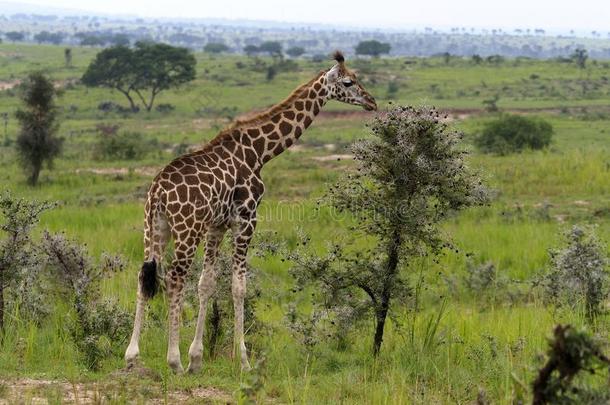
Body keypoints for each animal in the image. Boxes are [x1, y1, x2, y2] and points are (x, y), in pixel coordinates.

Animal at [124, 50, 376, 372]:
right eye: (348, 82)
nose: (372, 102)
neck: (259, 152)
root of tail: (157, 191)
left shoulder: (217, 224)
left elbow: (206, 283)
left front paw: (197, 359)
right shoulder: (246, 219)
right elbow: (238, 286)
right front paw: (242, 360)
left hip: (154, 227)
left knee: (144, 277)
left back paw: (132, 356)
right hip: (186, 230)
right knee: (174, 280)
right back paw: (173, 360)